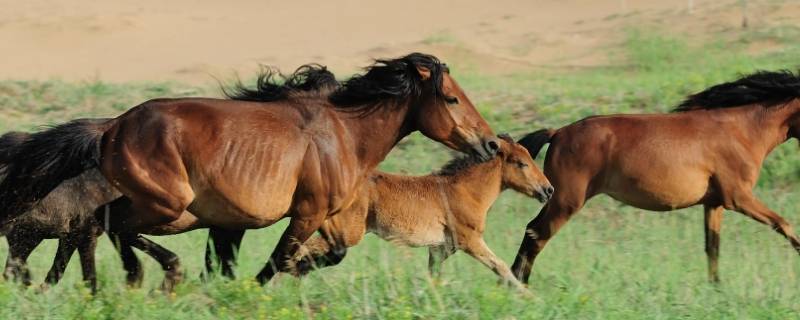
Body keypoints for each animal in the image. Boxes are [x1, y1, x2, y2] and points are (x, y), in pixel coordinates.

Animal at [0, 52, 500, 288]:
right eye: (452, 98)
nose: (491, 144)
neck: (342, 131)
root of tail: (110, 127)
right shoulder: (306, 214)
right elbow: (274, 261)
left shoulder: (324, 216)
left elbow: (328, 254)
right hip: (169, 206)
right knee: (108, 225)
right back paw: (150, 276)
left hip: (169, 209)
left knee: (96, 226)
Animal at [510, 70, 800, 284]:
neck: (742, 130)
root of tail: (557, 133)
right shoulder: (738, 197)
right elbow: (784, 224)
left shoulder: (714, 203)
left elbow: (713, 247)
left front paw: (716, 288)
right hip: (566, 201)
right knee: (537, 234)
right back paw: (519, 285)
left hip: (556, 199)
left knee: (531, 230)